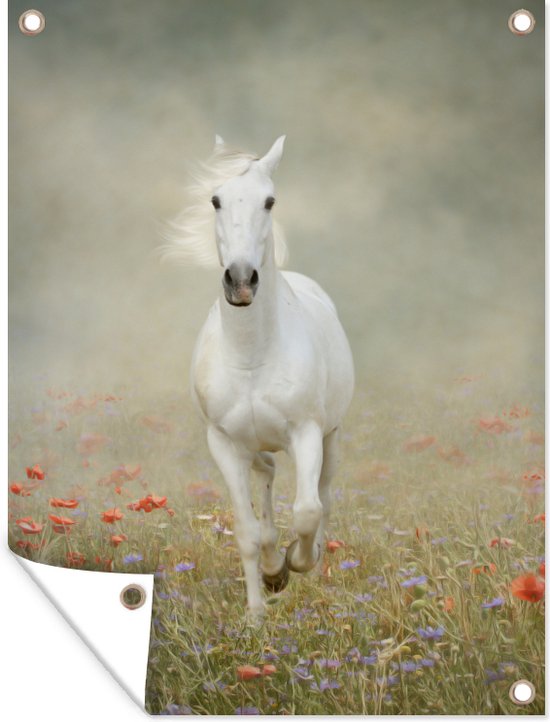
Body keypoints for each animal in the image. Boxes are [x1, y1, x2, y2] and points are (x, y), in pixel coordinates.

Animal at [166, 135, 354, 620]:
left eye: (269, 201)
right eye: (215, 200)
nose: (241, 280)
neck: (252, 358)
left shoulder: (306, 433)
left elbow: (307, 510)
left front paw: (297, 562)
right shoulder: (223, 444)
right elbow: (248, 532)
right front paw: (259, 604)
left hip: (331, 438)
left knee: (325, 497)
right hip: (251, 445)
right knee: (266, 474)